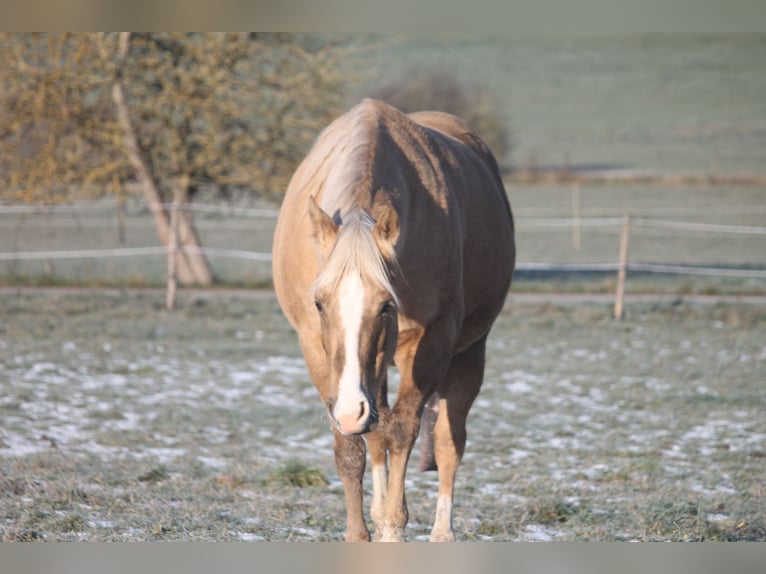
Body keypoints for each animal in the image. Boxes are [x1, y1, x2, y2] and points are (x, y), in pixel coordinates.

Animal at [272, 98, 515, 542]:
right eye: (319, 304)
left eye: (387, 304)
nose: (351, 408)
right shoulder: (317, 351)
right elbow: (351, 446)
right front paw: (360, 534)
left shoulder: (431, 343)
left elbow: (403, 431)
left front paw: (392, 529)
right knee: (375, 436)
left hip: (467, 355)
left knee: (448, 442)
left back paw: (441, 532)